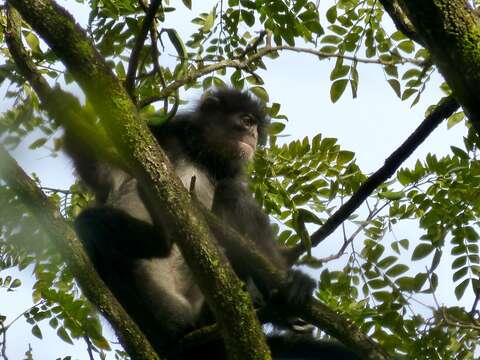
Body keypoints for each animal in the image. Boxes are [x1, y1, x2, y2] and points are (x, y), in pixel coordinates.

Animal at [65, 88, 362, 358]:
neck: (200, 155)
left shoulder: (229, 171)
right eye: (246, 120)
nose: (254, 136)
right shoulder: (158, 134)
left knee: (232, 194)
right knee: (88, 224)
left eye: (257, 126)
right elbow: (99, 172)